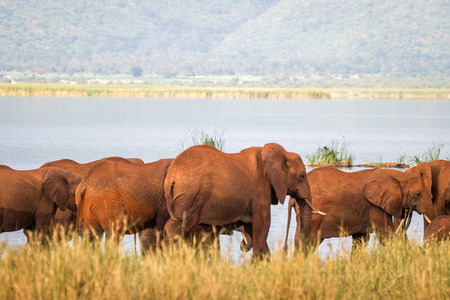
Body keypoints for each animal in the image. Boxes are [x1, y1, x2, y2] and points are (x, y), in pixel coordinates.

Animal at [163, 143, 318, 258]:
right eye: (302, 176)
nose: (285, 250)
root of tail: (171, 176)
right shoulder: (261, 188)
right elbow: (262, 224)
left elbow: (252, 228)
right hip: (189, 197)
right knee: (175, 227)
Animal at [284, 163, 436, 250]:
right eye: (418, 194)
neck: (399, 176)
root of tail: (292, 198)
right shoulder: (375, 207)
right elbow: (385, 234)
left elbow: (360, 240)